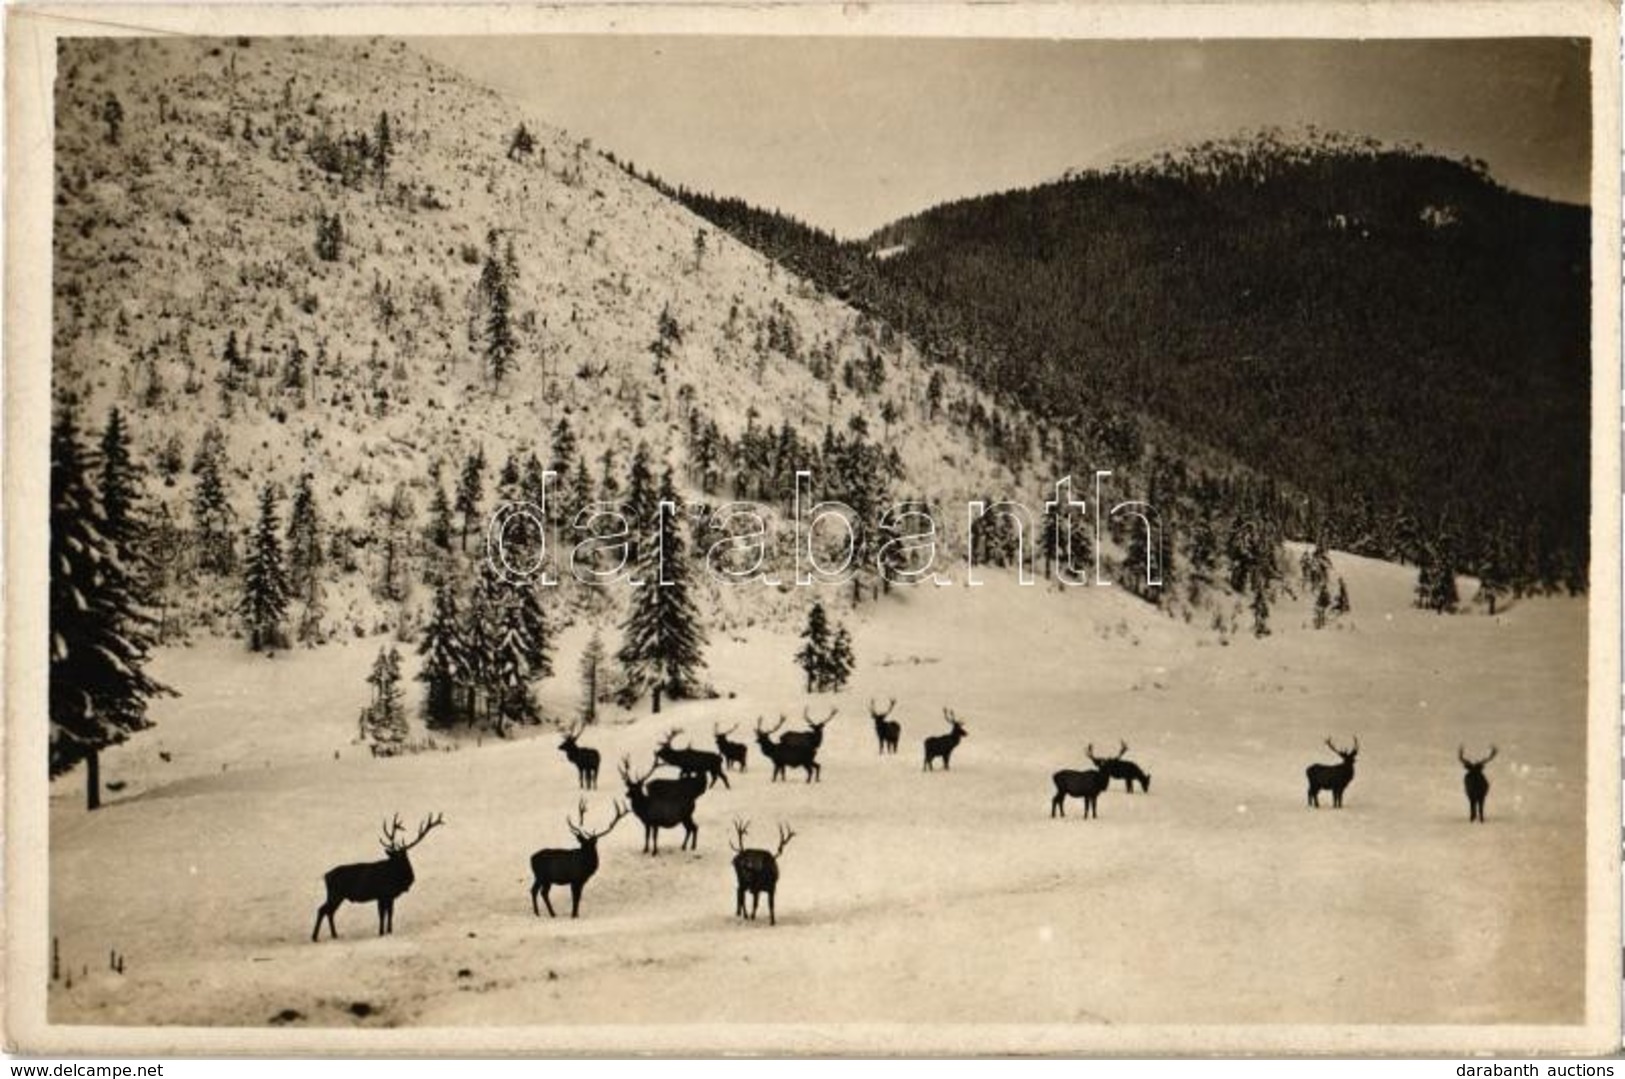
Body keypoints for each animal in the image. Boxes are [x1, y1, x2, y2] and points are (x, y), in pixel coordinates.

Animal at [310, 812, 445, 942]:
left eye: (399, 856)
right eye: (394, 857)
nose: (391, 857)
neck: (398, 881)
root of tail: (325, 876)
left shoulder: (390, 896)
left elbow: (390, 913)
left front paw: (389, 931)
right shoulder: (382, 894)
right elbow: (382, 914)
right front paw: (381, 933)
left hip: (337, 895)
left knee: (329, 912)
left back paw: (334, 935)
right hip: (336, 894)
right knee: (323, 910)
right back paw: (315, 937)